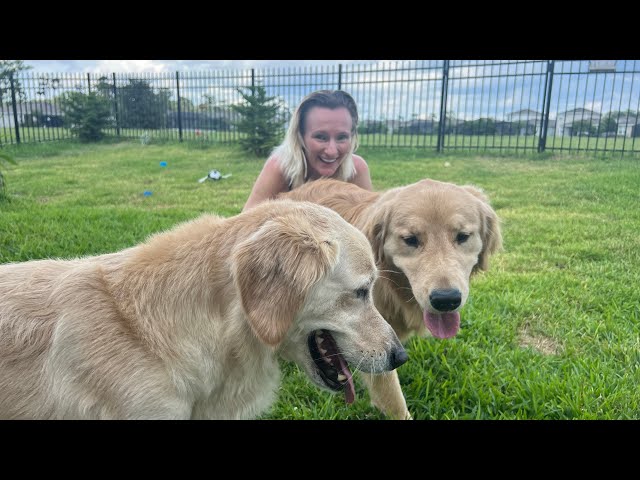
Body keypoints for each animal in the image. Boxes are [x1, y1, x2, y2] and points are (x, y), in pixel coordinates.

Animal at [282, 178, 502, 418]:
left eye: (462, 236)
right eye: (410, 240)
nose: (446, 300)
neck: (392, 289)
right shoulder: (375, 345)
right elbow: (393, 399)